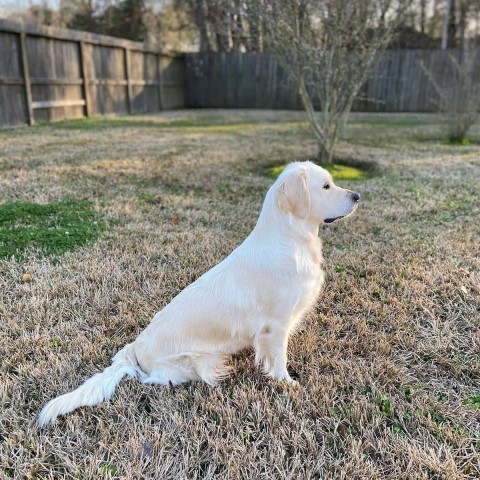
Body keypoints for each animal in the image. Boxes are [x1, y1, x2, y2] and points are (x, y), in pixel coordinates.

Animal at [37, 161, 360, 428]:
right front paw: (287, 383)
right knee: (152, 380)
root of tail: (135, 349)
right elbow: (278, 360)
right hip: (191, 364)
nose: (357, 196)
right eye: (326, 186)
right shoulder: (275, 325)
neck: (291, 238)